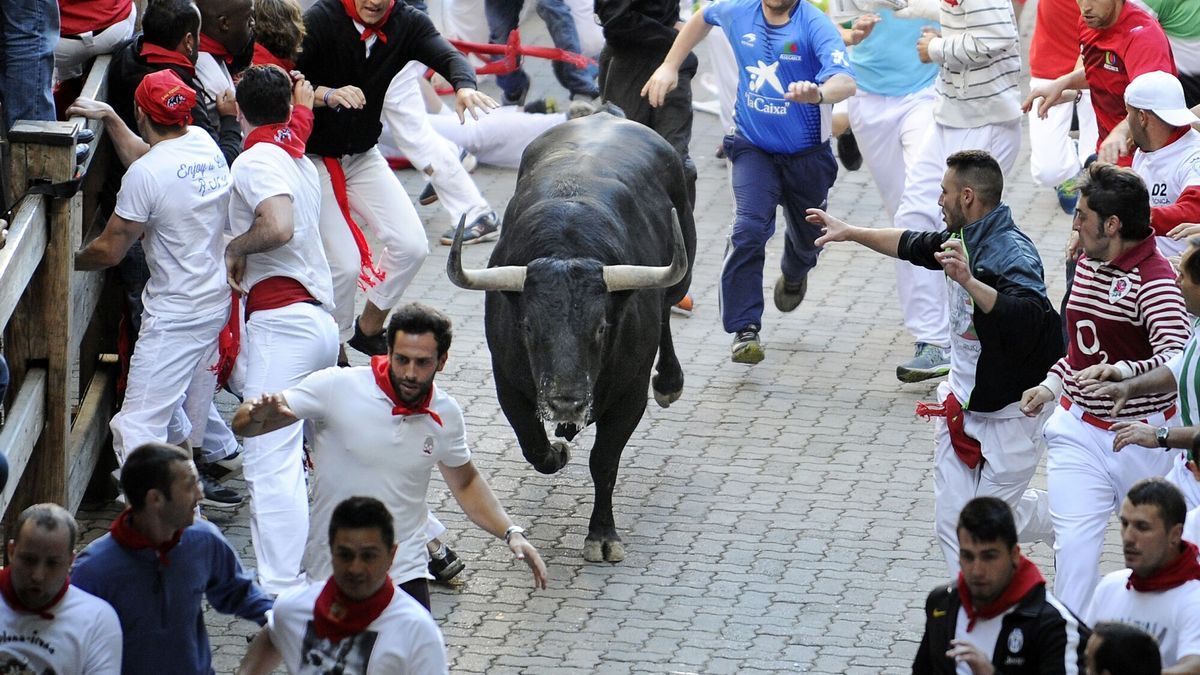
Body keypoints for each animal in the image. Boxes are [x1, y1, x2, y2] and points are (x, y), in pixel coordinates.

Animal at [448, 112, 696, 559]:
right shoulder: (507, 383)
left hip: (681, 269)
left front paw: (602, 535)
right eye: (527, 326)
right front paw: (558, 451)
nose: (566, 400)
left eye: (601, 327)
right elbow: (534, 447)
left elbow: (604, 460)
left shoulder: (630, 395)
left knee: (670, 307)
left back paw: (669, 382)